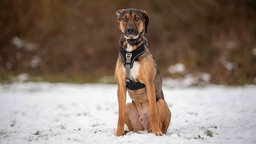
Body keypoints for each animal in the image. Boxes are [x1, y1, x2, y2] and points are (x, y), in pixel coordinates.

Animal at [114, 8, 171, 136]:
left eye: (137, 18)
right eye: (124, 19)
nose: (130, 30)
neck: (131, 51)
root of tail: (145, 127)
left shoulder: (149, 83)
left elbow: (154, 112)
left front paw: (157, 131)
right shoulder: (121, 86)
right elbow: (119, 115)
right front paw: (118, 134)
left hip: (162, 103)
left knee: (161, 122)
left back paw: (157, 130)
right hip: (128, 107)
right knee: (131, 125)